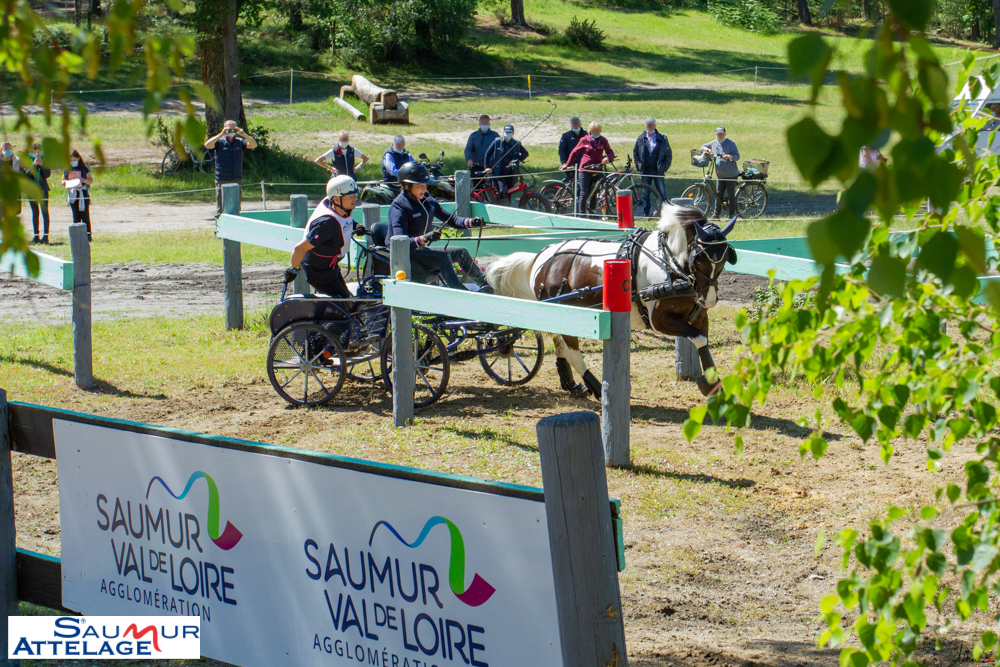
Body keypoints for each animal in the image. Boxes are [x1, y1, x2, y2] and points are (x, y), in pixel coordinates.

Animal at [486, 204, 738, 398]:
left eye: (725, 256)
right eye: (701, 257)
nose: (710, 299)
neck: (670, 264)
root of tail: (541, 256)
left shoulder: (699, 316)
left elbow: (703, 341)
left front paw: (714, 384)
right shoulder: (659, 321)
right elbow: (698, 338)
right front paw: (710, 384)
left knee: (560, 344)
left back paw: (571, 384)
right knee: (572, 351)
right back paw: (596, 387)